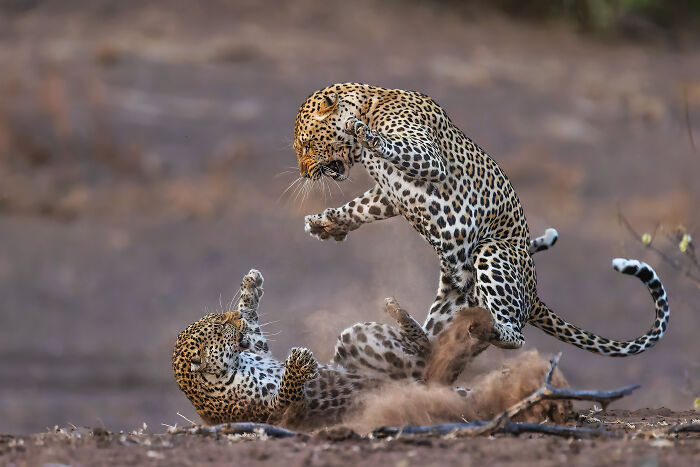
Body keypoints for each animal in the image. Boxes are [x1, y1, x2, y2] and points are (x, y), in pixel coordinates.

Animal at [292, 82, 669, 358]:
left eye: (307, 146)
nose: (305, 173)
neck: (371, 101)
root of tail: (534, 296)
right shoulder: (388, 193)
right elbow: (360, 207)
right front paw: (326, 224)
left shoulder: (426, 158)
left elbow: (385, 143)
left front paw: (361, 130)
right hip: (452, 299)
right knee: (435, 344)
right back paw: (407, 324)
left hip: (491, 251)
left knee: (516, 336)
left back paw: (489, 330)